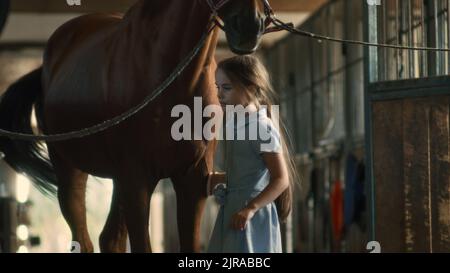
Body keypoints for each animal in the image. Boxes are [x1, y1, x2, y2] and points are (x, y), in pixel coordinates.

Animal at [0, 0, 268, 252]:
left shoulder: (193, 179)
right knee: (83, 238)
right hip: (71, 170)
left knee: (110, 238)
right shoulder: (137, 179)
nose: (250, 26)